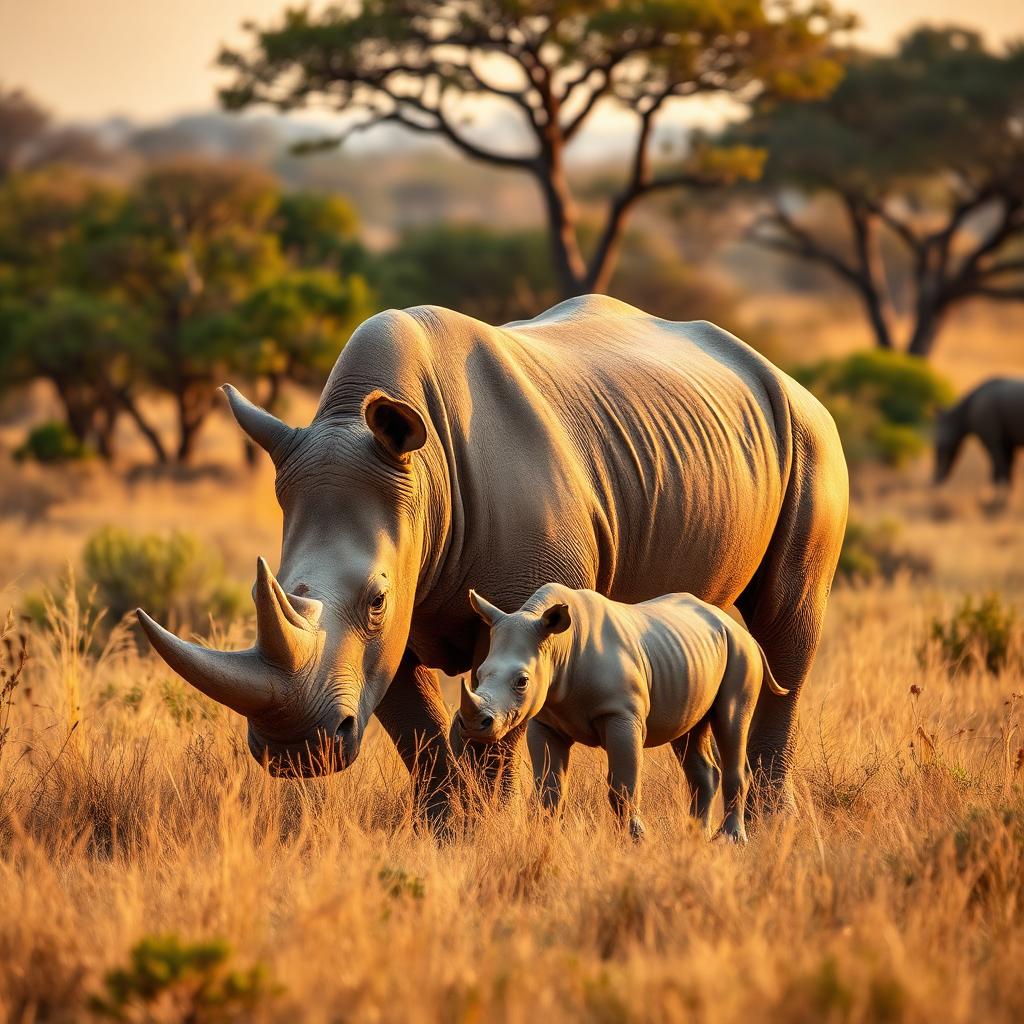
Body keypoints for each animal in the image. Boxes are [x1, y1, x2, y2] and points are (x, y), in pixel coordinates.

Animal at [456, 585, 789, 843]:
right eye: (479, 675)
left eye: (522, 681)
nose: (476, 726)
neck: (558, 645)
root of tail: (736, 627)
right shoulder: (544, 720)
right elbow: (549, 787)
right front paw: (543, 838)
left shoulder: (621, 714)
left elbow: (622, 785)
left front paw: (635, 841)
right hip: (690, 657)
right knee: (689, 734)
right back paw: (694, 839)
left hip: (741, 653)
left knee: (731, 721)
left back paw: (730, 841)